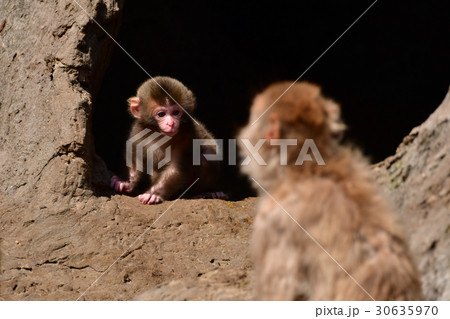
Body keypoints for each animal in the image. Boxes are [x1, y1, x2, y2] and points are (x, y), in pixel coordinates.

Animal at [111, 76, 224, 204]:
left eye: (176, 112)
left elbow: (176, 168)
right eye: (161, 114)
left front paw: (152, 194)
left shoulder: (187, 134)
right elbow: (135, 158)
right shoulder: (138, 130)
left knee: (207, 155)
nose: (171, 123)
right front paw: (126, 182)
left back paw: (207, 192)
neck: (160, 133)